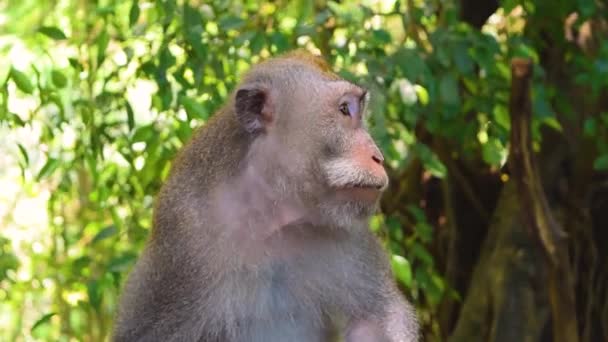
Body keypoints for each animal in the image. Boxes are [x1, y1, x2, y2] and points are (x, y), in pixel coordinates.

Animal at [114, 50, 418, 342]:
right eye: (344, 110)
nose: (378, 157)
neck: (270, 213)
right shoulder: (184, 241)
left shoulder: (348, 234)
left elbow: (379, 318)